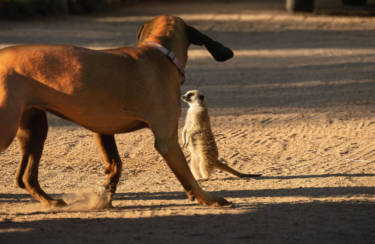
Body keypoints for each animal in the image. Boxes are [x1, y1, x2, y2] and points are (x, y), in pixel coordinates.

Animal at [0, 15, 234, 208]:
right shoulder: (166, 140)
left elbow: (116, 165)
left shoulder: (102, 130)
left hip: (34, 128)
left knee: (25, 178)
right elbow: (188, 177)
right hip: (8, 128)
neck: (161, 52)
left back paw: (51, 201)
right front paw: (208, 199)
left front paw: (106, 197)